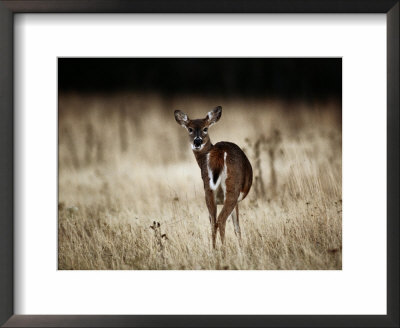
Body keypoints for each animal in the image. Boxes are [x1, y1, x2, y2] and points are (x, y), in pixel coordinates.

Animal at [173, 106, 252, 247]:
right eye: (190, 129)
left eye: (205, 128)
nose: (197, 141)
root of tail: (219, 151)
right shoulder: (237, 200)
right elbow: (237, 226)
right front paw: (241, 247)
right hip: (233, 186)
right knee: (221, 220)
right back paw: (224, 249)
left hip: (208, 189)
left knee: (213, 222)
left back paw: (214, 249)